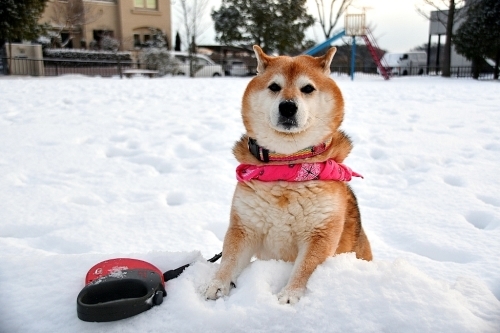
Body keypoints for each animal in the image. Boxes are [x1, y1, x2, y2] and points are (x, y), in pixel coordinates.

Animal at [204, 46, 372, 304]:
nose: (288, 106)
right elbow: (230, 259)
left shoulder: (321, 234)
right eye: (275, 87)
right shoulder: (245, 227)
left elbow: (306, 268)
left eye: (308, 88)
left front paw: (290, 296)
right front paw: (217, 284)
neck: (288, 164)